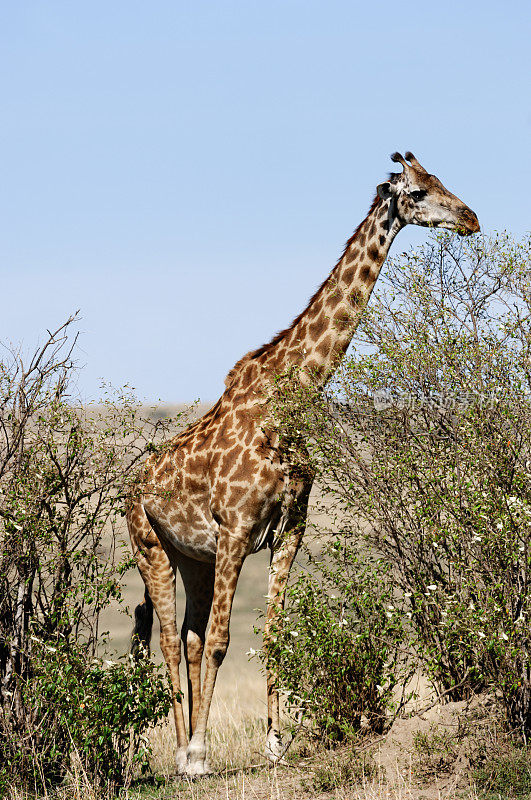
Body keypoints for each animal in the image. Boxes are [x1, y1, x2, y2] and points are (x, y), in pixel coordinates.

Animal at [127, 152, 480, 776]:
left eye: (442, 181)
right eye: (417, 192)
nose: (471, 218)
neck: (289, 401)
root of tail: (130, 487)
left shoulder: (290, 526)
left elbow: (271, 635)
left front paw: (274, 746)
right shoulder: (237, 528)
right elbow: (222, 639)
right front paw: (203, 753)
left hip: (194, 557)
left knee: (187, 636)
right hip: (150, 547)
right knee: (170, 639)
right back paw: (181, 753)